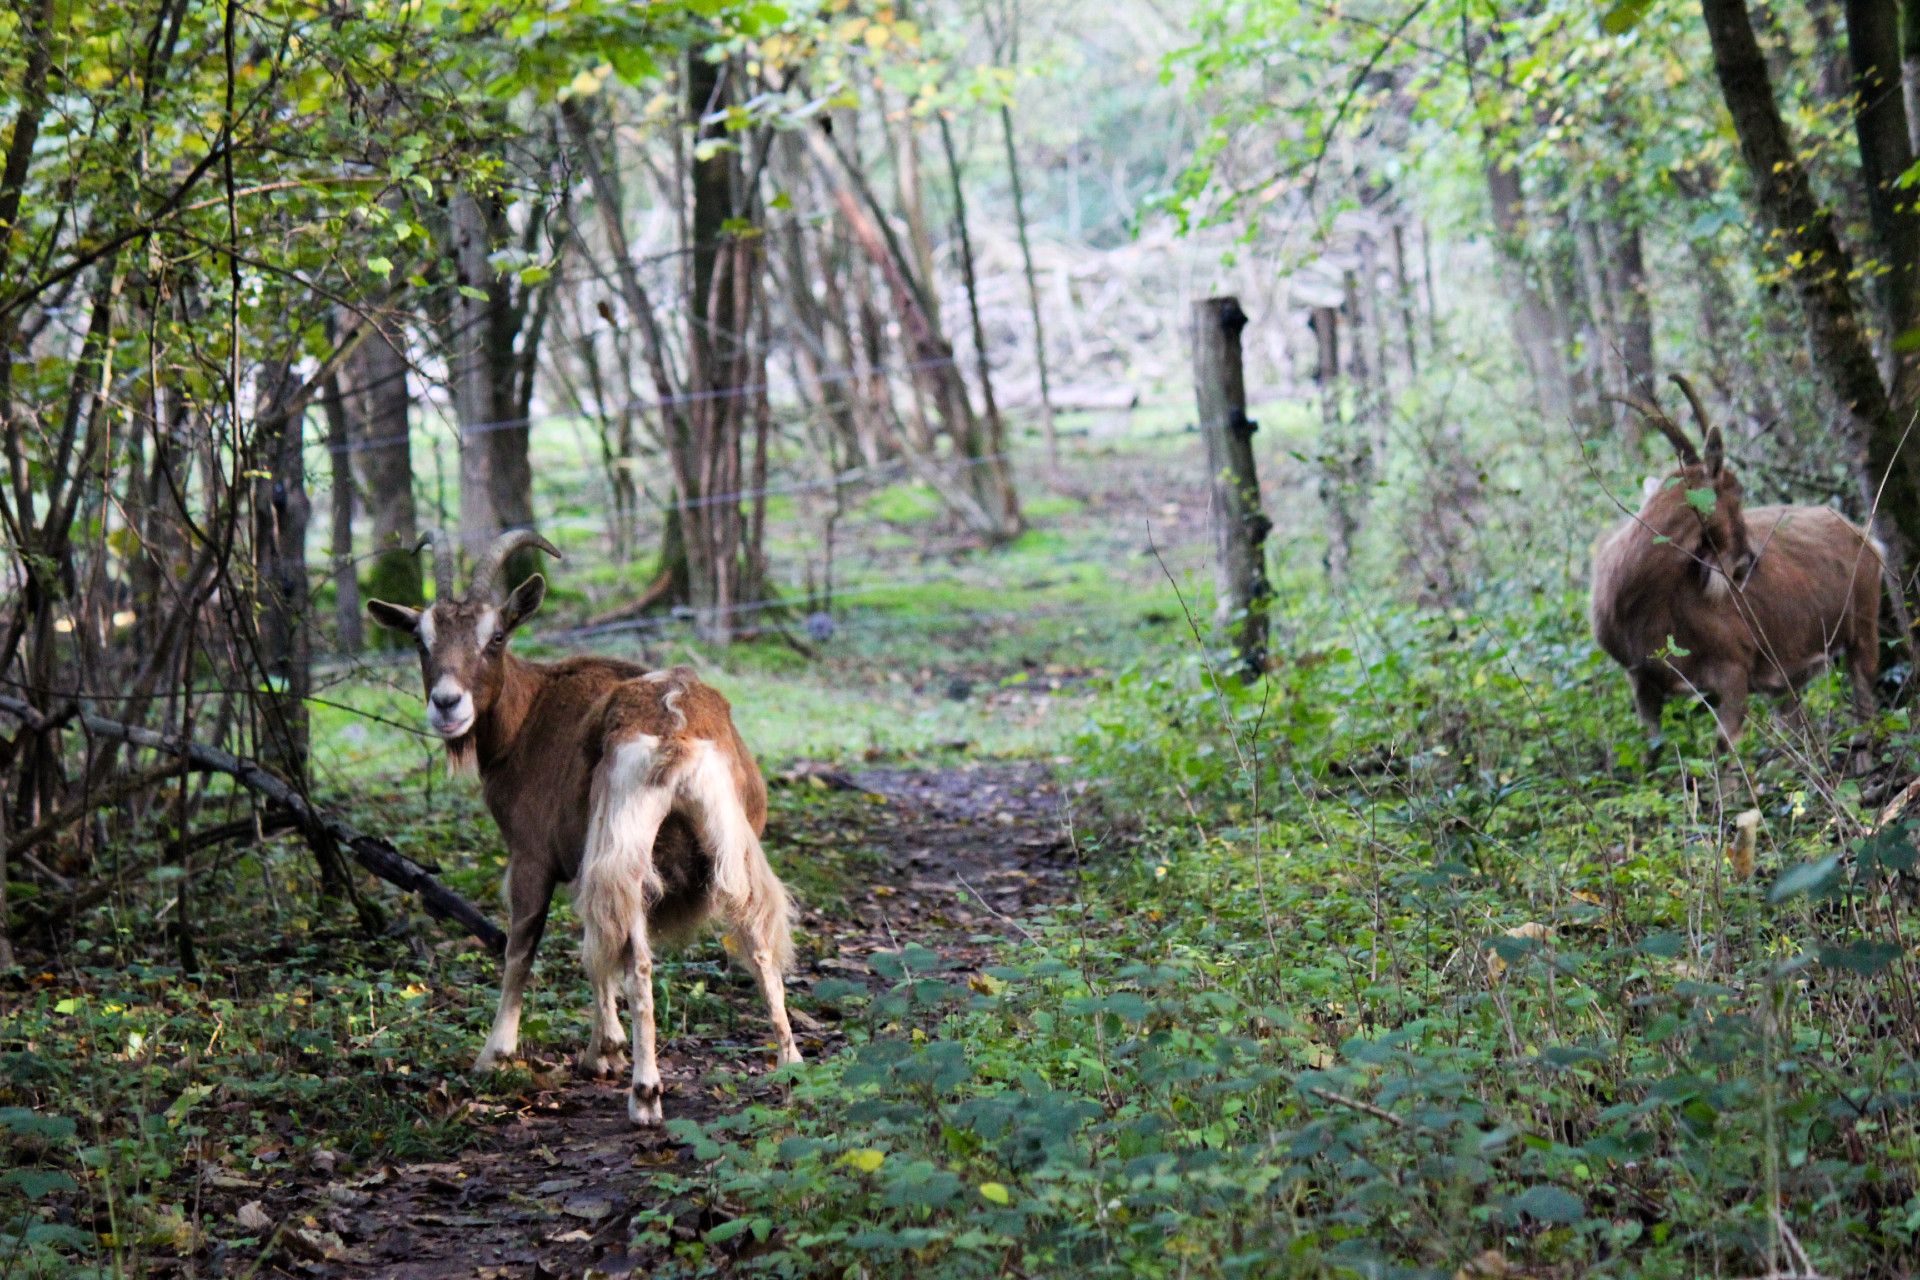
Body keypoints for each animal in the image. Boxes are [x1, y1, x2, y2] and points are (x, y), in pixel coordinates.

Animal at [370, 537, 798, 1128]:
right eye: (420, 638)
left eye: (495, 637)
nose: (447, 704)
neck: (531, 711)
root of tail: (675, 722)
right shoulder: (585, 856)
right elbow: (595, 947)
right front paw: (605, 1049)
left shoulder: (534, 855)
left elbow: (524, 946)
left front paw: (498, 1054)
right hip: (725, 838)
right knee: (755, 939)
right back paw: (791, 1065)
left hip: (632, 845)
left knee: (637, 958)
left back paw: (645, 1094)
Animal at [1589, 378, 1889, 759]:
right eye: (1738, 492)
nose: (1749, 560)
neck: (1640, 605)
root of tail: (1865, 537)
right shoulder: (1642, 685)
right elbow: (1652, 754)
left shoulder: (1733, 671)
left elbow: (1723, 750)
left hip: (1863, 629)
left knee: (1866, 708)